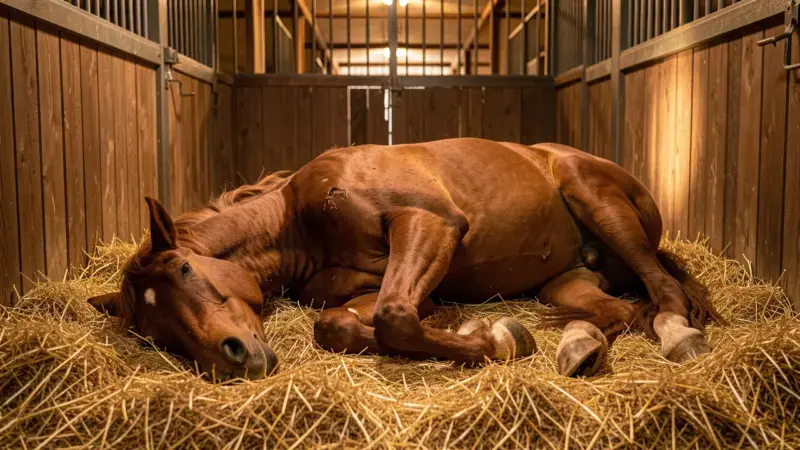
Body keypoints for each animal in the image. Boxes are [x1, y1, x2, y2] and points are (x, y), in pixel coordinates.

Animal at [88, 138, 722, 381]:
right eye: (151, 334)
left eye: (185, 269)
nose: (234, 358)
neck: (299, 224)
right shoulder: (360, 288)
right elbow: (340, 323)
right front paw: (480, 331)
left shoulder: (427, 223)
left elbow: (396, 316)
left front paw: (500, 340)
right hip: (566, 283)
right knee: (616, 313)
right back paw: (579, 345)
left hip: (599, 202)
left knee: (663, 291)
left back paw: (678, 337)